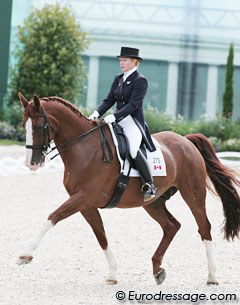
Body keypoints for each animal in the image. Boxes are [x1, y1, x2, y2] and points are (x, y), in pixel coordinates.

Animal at [17, 92, 240, 284]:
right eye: (23, 125)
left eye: (38, 126)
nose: (31, 164)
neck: (84, 148)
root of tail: (186, 141)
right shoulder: (86, 204)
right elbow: (101, 235)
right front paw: (112, 274)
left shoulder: (82, 198)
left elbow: (52, 217)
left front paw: (25, 254)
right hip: (153, 202)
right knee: (171, 226)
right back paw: (157, 270)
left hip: (193, 193)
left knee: (204, 227)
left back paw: (212, 276)